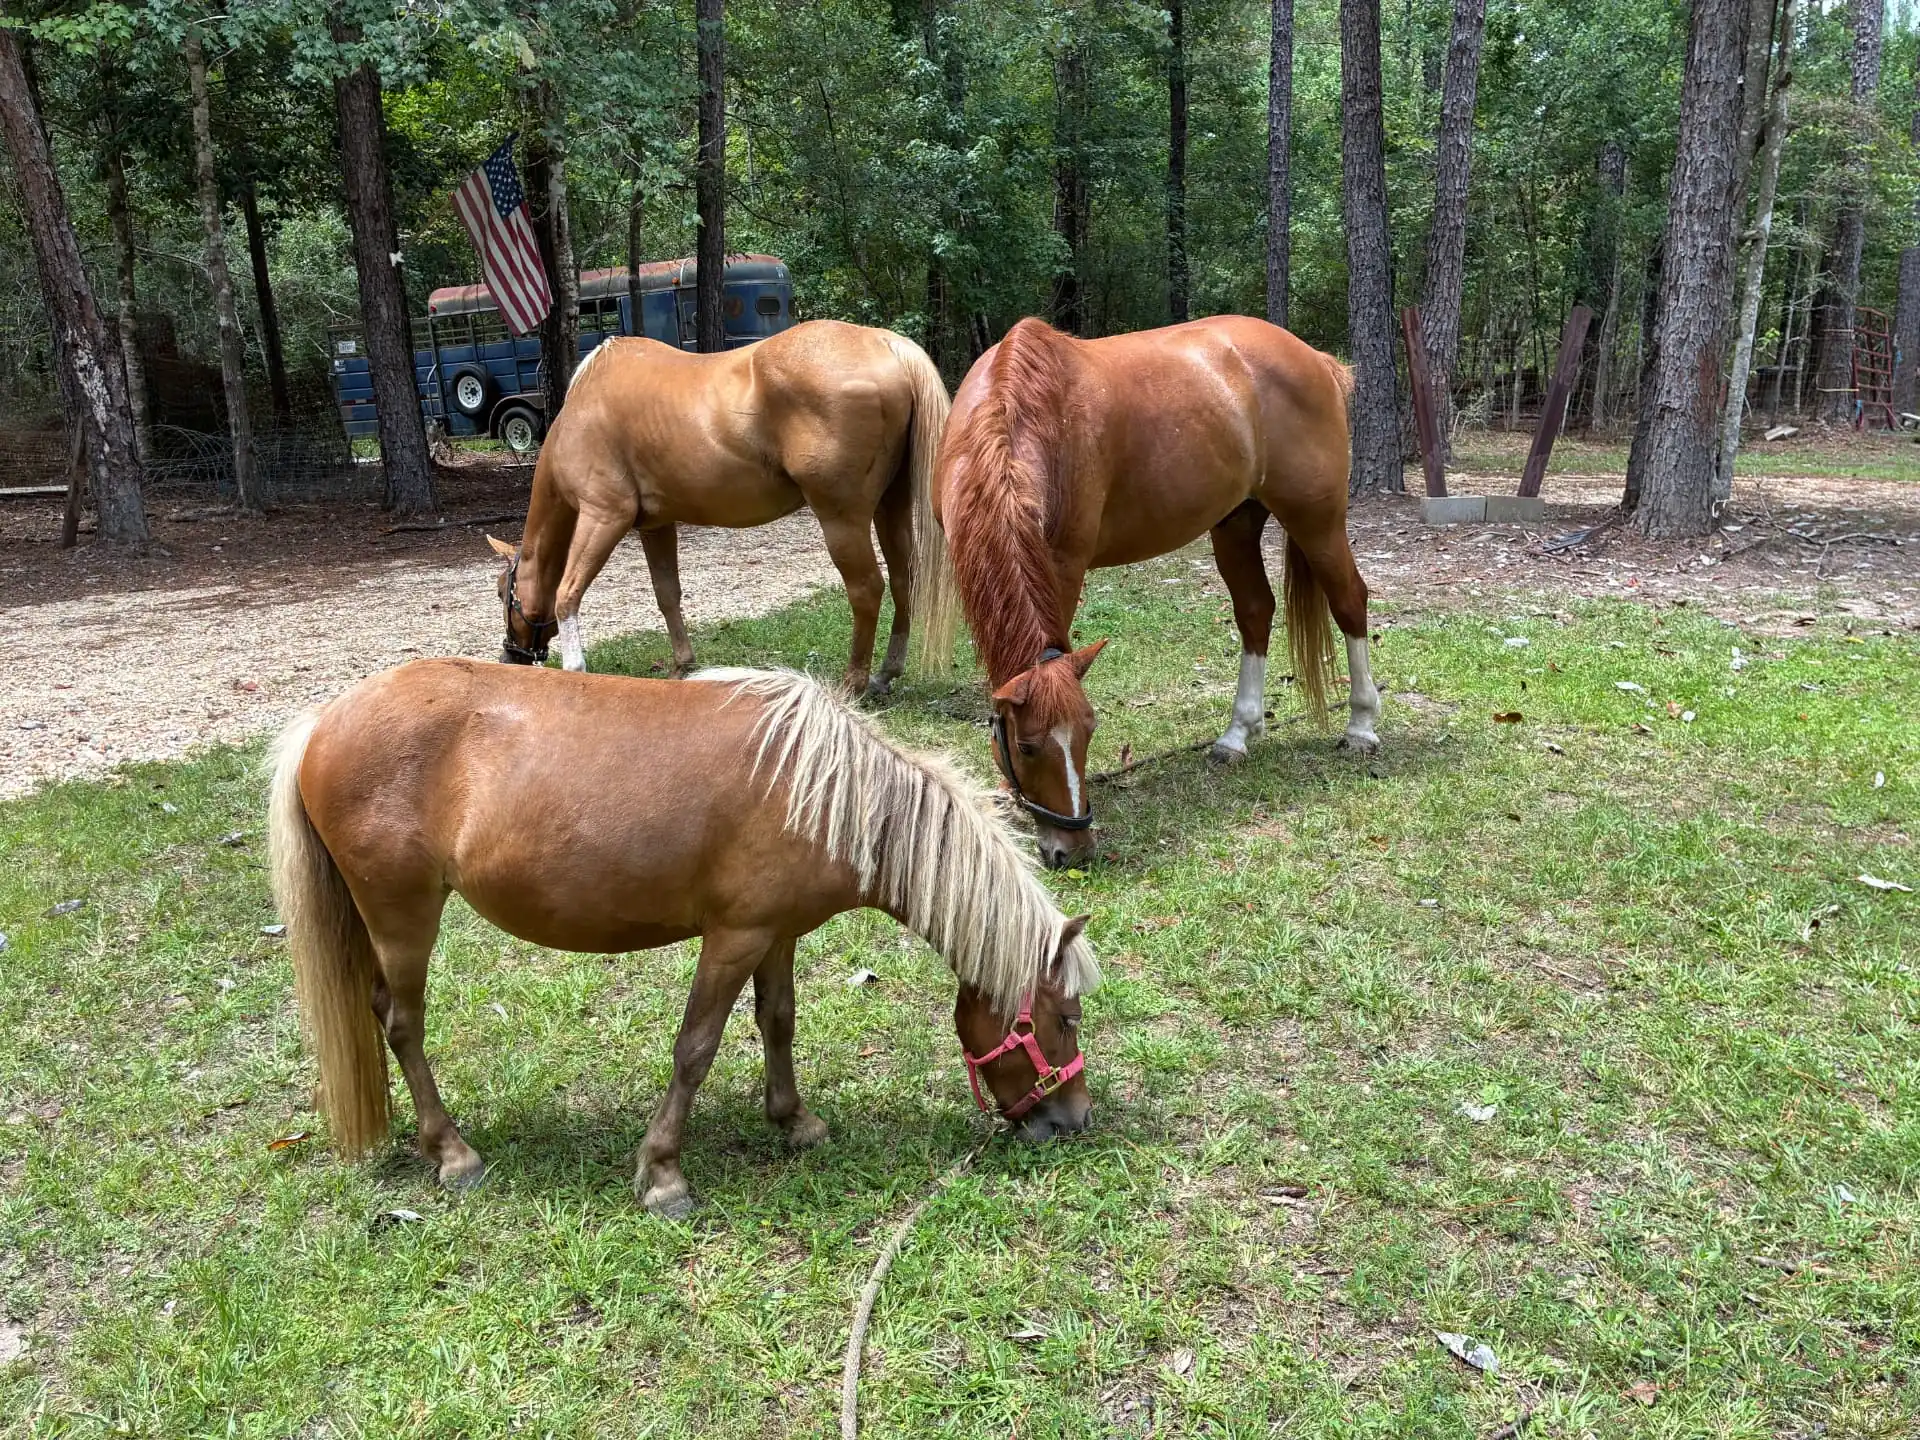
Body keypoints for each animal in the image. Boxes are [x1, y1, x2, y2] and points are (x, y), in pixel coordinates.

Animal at [267, 659, 1096, 1217]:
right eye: (1063, 1018)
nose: (1073, 1120)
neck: (825, 790)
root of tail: (322, 723)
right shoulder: (733, 938)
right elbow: (696, 1049)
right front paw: (664, 1173)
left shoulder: (776, 934)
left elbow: (778, 1022)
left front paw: (794, 1121)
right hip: (404, 919)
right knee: (402, 1023)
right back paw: (453, 1152)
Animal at [486, 319, 951, 700]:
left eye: (503, 591)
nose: (511, 657)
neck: (581, 411)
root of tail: (886, 344)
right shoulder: (656, 526)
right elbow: (667, 595)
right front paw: (682, 666)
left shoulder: (604, 516)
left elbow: (567, 594)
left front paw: (574, 668)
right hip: (891, 507)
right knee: (904, 580)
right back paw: (885, 674)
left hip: (842, 519)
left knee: (867, 589)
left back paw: (854, 682)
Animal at [917, 315, 1380, 869]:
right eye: (1026, 747)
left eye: (1089, 731)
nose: (1074, 851)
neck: (1010, 423)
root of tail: (1317, 360)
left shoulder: (1064, 565)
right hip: (1237, 523)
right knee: (1255, 611)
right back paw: (1237, 735)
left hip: (1318, 520)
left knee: (1350, 602)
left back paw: (1361, 727)